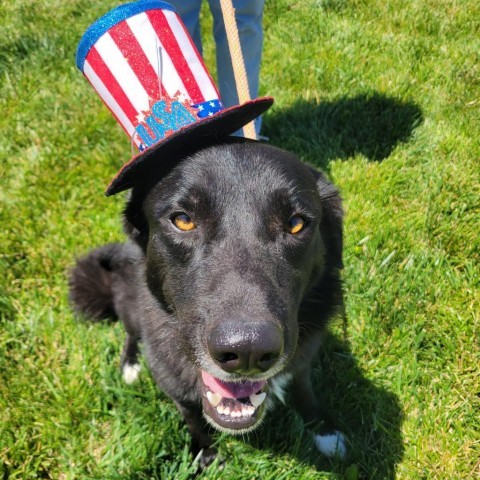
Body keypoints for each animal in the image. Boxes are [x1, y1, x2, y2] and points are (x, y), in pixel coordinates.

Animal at [68, 137, 344, 466]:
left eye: (296, 223)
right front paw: (207, 457)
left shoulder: (301, 361)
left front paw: (324, 430)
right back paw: (131, 366)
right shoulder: (177, 390)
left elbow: (305, 391)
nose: (248, 351)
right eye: (184, 221)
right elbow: (195, 422)